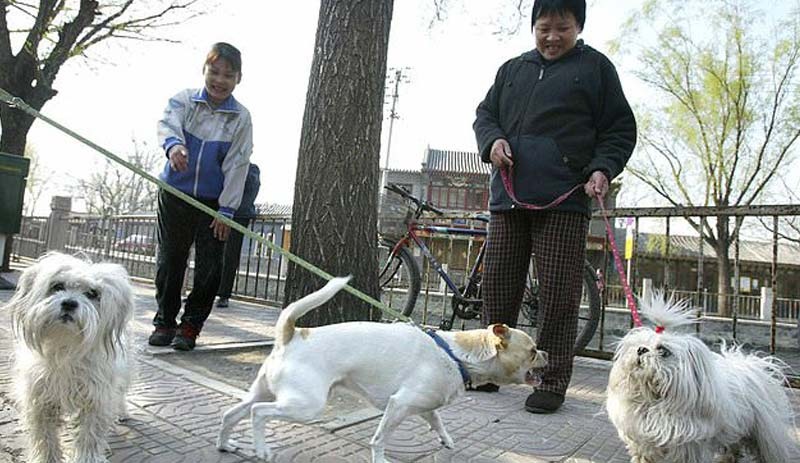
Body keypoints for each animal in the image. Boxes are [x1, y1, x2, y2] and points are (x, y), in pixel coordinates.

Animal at [5, 254, 134, 463]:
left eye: (92, 293)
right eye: (57, 286)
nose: (69, 303)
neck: (66, 348)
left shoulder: (96, 397)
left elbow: (89, 436)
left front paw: (87, 458)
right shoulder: (40, 399)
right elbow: (45, 436)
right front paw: (48, 458)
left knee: (120, 393)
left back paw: (121, 411)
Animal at [216, 278, 548, 462]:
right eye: (532, 352)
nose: (546, 353)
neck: (457, 355)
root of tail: (293, 334)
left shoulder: (425, 405)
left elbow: (438, 421)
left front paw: (446, 440)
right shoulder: (398, 406)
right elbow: (379, 439)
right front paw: (380, 458)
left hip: (265, 391)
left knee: (232, 414)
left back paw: (224, 444)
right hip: (305, 405)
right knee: (258, 413)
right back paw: (261, 449)